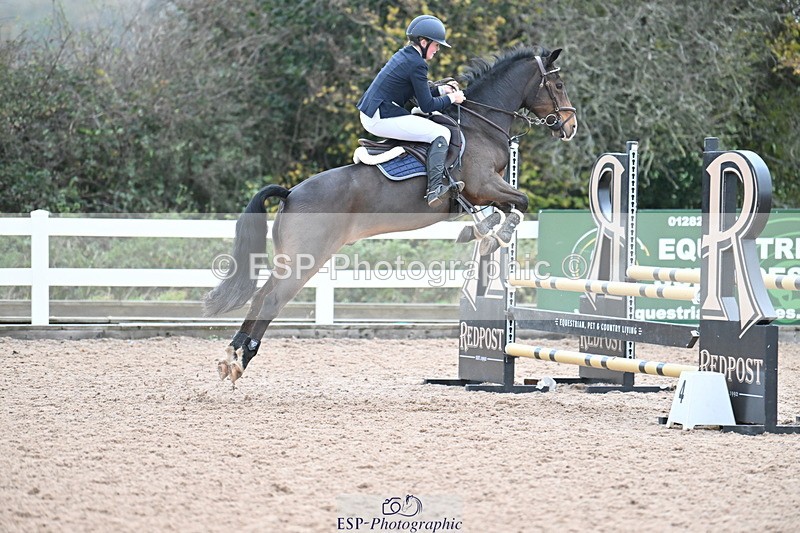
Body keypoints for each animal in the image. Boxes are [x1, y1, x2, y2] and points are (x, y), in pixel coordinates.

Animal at [205, 45, 578, 384]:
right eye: (558, 85)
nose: (570, 126)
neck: (479, 126)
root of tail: (291, 193)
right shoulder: (484, 184)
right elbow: (520, 202)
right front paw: (494, 235)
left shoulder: (483, 192)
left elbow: (506, 208)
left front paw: (483, 232)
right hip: (306, 259)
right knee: (271, 300)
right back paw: (241, 359)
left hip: (290, 257)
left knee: (261, 296)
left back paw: (232, 358)